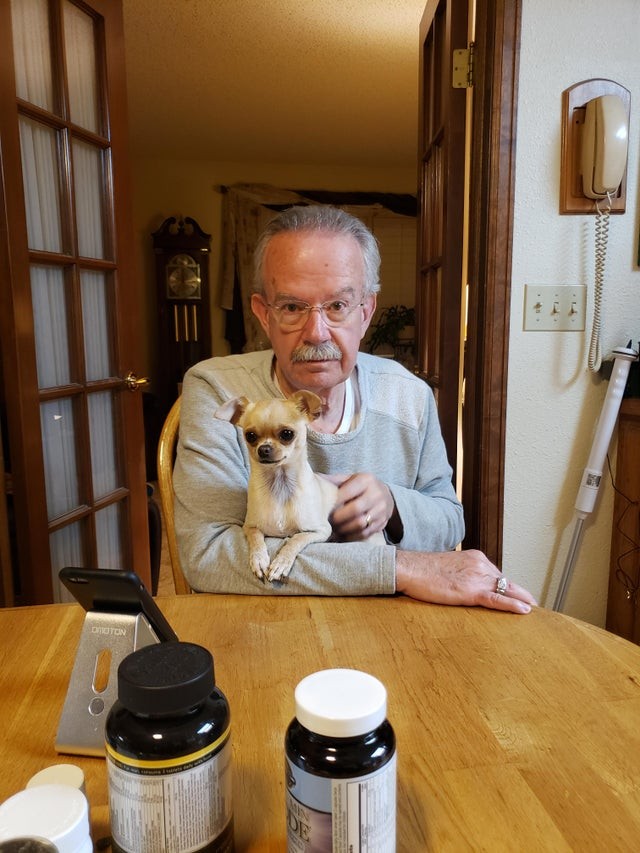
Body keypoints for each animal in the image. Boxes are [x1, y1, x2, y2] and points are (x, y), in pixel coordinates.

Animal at [214, 390, 338, 584]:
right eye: (250, 436)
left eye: (287, 434)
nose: (263, 448)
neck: (279, 484)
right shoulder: (249, 526)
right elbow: (256, 538)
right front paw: (259, 560)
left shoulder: (321, 530)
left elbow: (296, 539)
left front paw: (281, 563)